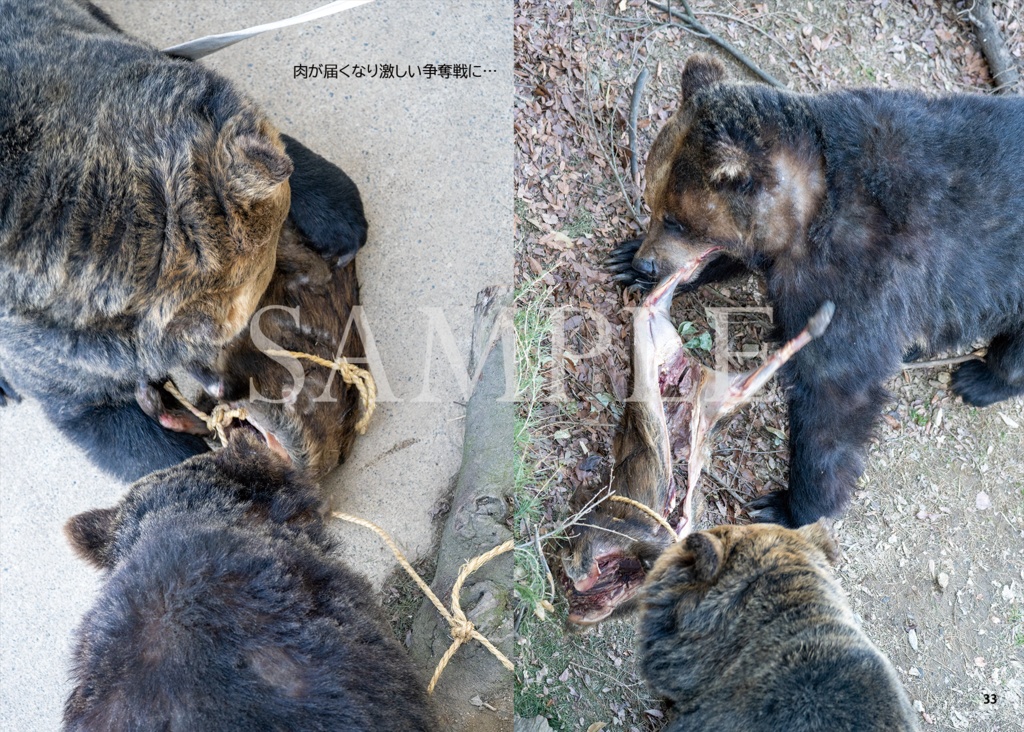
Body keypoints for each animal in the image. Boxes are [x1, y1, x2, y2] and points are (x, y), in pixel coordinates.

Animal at [611, 54, 1024, 527]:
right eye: (653, 202)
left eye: (676, 219)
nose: (647, 262)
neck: (810, 213)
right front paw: (624, 260)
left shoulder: (858, 277)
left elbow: (835, 392)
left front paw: (788, 504)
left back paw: (979, 379)